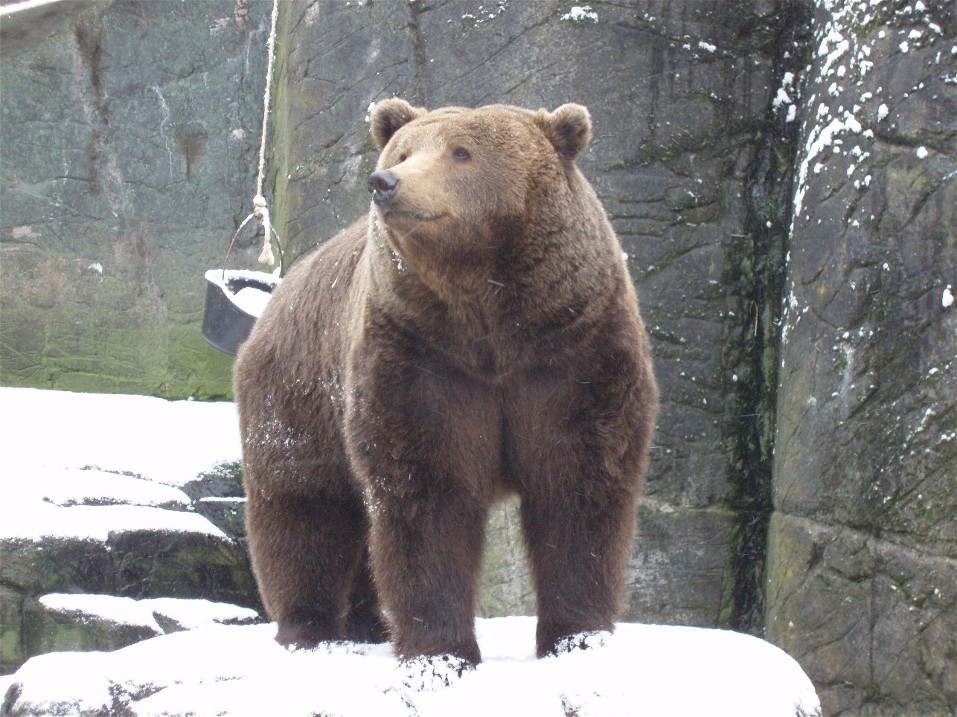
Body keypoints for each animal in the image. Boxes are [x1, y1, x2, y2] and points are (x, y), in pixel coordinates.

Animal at [233, 98, 659, 667]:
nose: (385, 182)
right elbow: (428, 492)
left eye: (461, 152)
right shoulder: (422, 360)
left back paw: (367, 625)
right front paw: (441, 650)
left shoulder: (572, 353)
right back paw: (310, 629)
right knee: (305, 507)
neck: (492, 317)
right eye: (404, 151)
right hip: (299, 394)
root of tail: (277, 296)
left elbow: (579, 485)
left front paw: (578, 637)